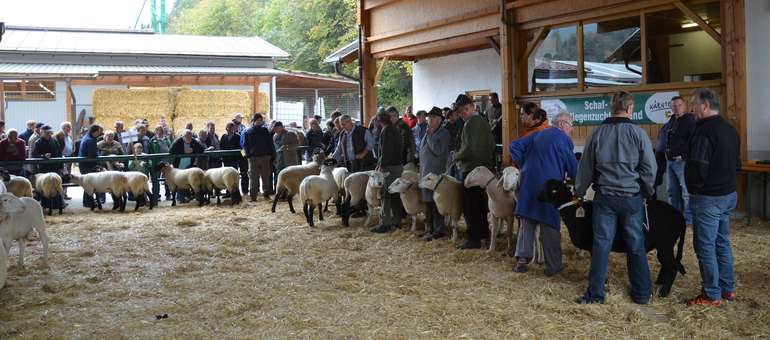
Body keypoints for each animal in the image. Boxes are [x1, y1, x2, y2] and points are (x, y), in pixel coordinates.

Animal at [536, 181, 688, 298]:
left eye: (552, 189)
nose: (537, 196)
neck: (573, 213)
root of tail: (680, 216)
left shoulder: (594, 245)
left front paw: (602, 282)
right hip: (664, 246)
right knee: (667, 265)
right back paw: (659, 284)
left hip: (665, 244)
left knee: (673, 267)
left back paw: (663, 292)